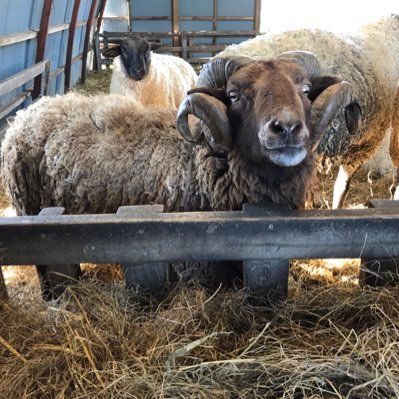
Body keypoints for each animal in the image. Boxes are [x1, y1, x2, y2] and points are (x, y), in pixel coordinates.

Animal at [1, 53, 360, 286]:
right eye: (233, 95)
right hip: (29, 211)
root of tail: (32, 111)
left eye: (305, 90)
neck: (202, 163)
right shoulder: (195, 270)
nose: (286, 128)